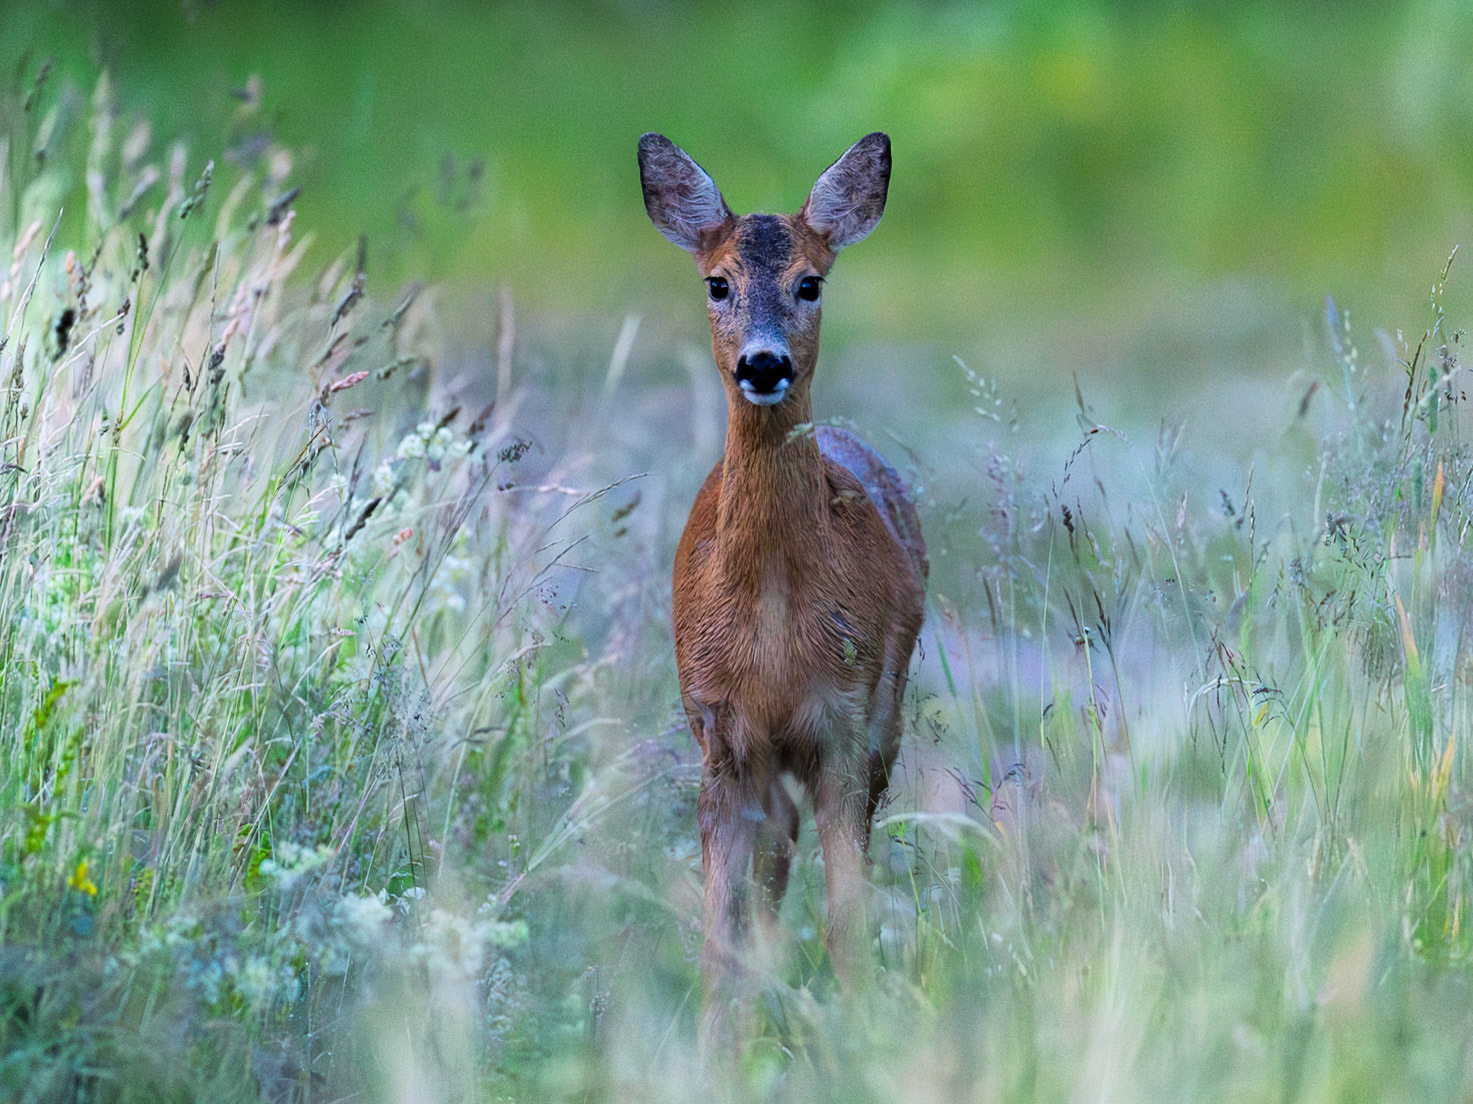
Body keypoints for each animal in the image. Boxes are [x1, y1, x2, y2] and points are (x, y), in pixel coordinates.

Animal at [637, 131, 927, 1023]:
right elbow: (716, 934)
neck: (770, 638)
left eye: (810, 281)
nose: (763, 364)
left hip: (887, 711)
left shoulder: (843, 717)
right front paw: (721, 1039)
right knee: (773, 859)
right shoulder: (718, 729)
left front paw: (861, 1026)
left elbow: (846, 917)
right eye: (716, 282)